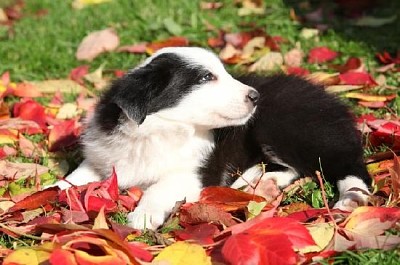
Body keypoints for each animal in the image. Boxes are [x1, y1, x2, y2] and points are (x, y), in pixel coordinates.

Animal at [54, 46, 370, 228]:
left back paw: (352, 197)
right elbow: (74, 177)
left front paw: (142, 216)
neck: (159, 129)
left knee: (347, 164)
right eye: (207, 77)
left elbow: (161, 187)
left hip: (287, 125)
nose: (255, 96)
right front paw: (51, 190)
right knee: (293, 167)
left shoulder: (195, 171)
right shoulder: (103, 158)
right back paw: (258, 181)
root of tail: (331, 99)